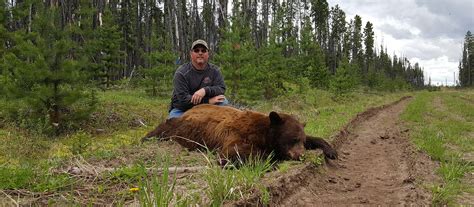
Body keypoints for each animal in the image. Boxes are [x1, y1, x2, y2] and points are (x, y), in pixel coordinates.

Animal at [142, 105, 336, 162]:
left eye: (301, 140)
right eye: (293, 139)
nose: (301, 155)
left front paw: (331, 150)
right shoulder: (234, 134)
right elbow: (231, 152)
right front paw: (271, 158)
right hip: (174, 127)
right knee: (160, 130)